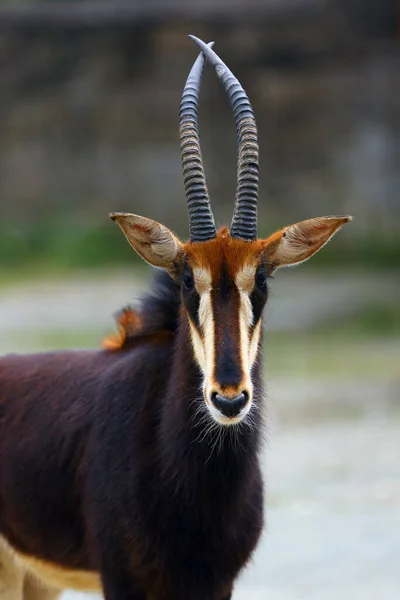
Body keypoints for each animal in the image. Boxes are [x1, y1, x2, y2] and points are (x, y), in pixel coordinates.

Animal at [0, 36, 350, 600]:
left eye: (262, 280)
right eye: (188, 281)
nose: (228, 398)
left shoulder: (214, 582)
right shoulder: (121, 579)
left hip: (35, 576)